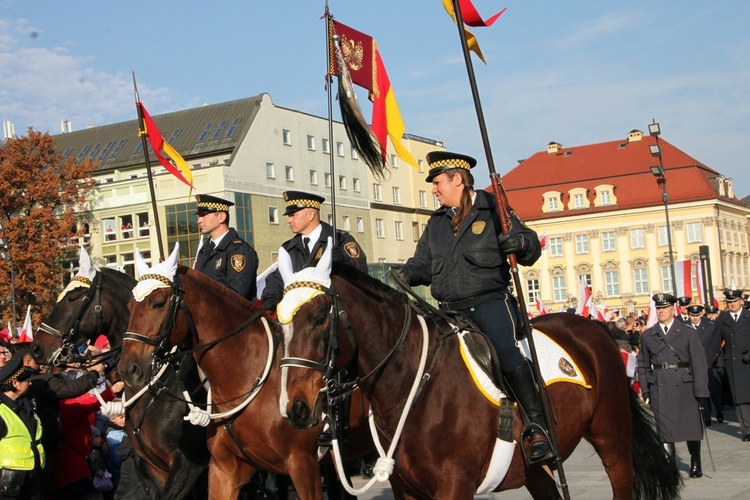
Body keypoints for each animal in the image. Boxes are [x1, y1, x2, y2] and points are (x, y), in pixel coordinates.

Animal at [278, 247, 688, 500]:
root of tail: (594, 328)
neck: (414, 386)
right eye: (280, 322)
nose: (294, 409)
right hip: (535, 470)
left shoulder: (454, 484)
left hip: (612, 438)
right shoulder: (405, 488)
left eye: (319, 317)